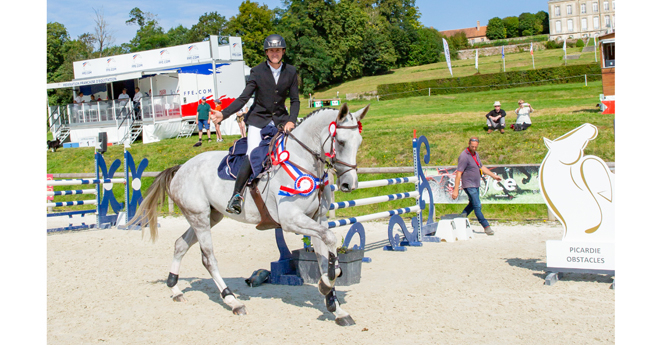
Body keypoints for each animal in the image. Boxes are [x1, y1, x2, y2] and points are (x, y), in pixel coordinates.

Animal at [131, 103, 368, 324]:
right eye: (341, 142)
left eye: (359, 143)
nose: (349, 185)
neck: (303, 162)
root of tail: (181, 168)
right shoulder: (291, 221)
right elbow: (331, 239)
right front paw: (329, 282)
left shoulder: (317, 219)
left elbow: (323, 255)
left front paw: (335, 305)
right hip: (199, 218)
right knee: (208, 259)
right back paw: (232, 300)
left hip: (208, 216)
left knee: (180, 244)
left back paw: (175, 289)